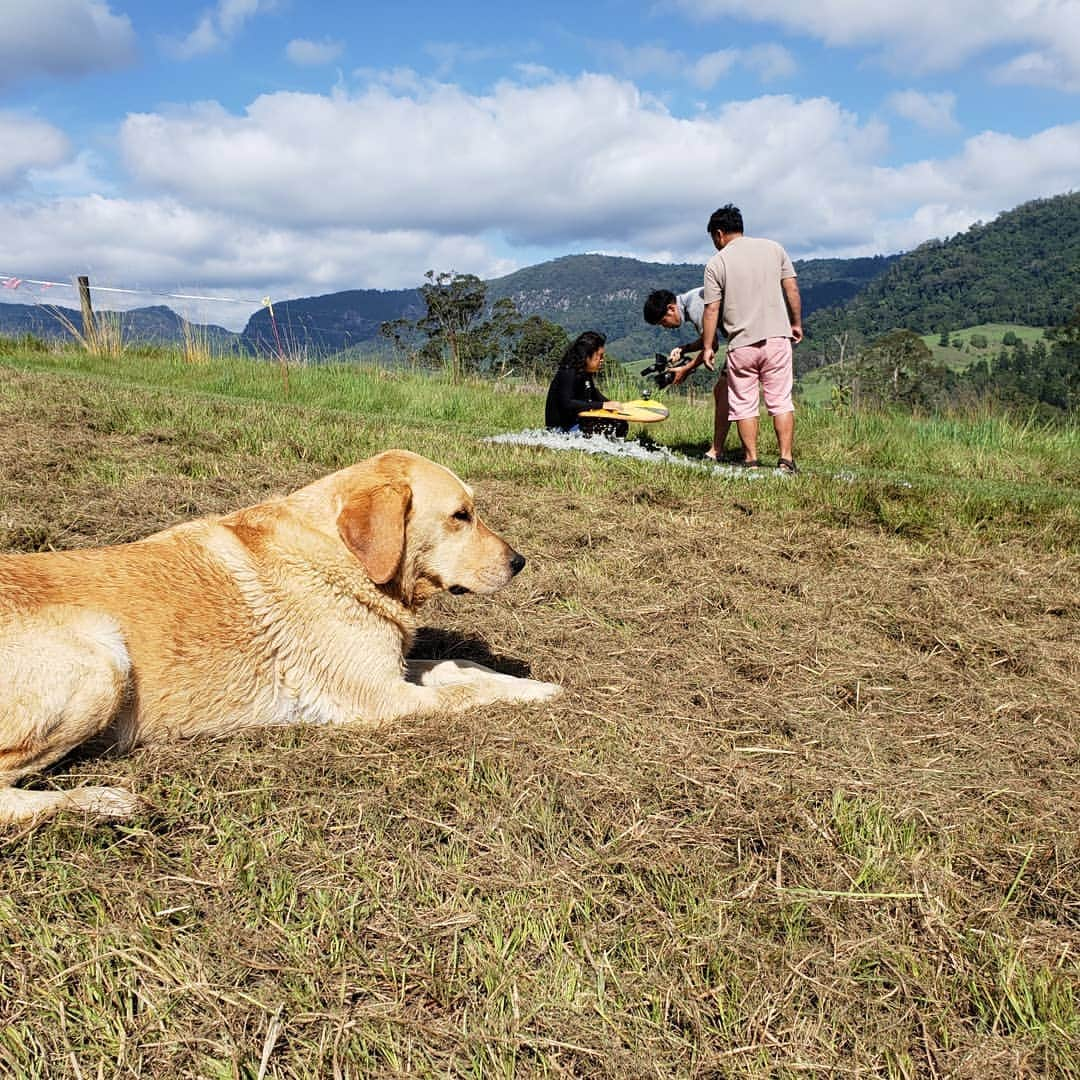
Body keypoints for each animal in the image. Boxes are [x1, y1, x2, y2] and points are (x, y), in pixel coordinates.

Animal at [4, 451, 565, 820]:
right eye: (460, 516)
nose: (520, 562)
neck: (343, 554)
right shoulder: (379, 698)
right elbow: (469, 695)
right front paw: (535, 694)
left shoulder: (391, 670)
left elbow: (465, 668)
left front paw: (525, 681)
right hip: (102, 661)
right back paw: (99, 801)